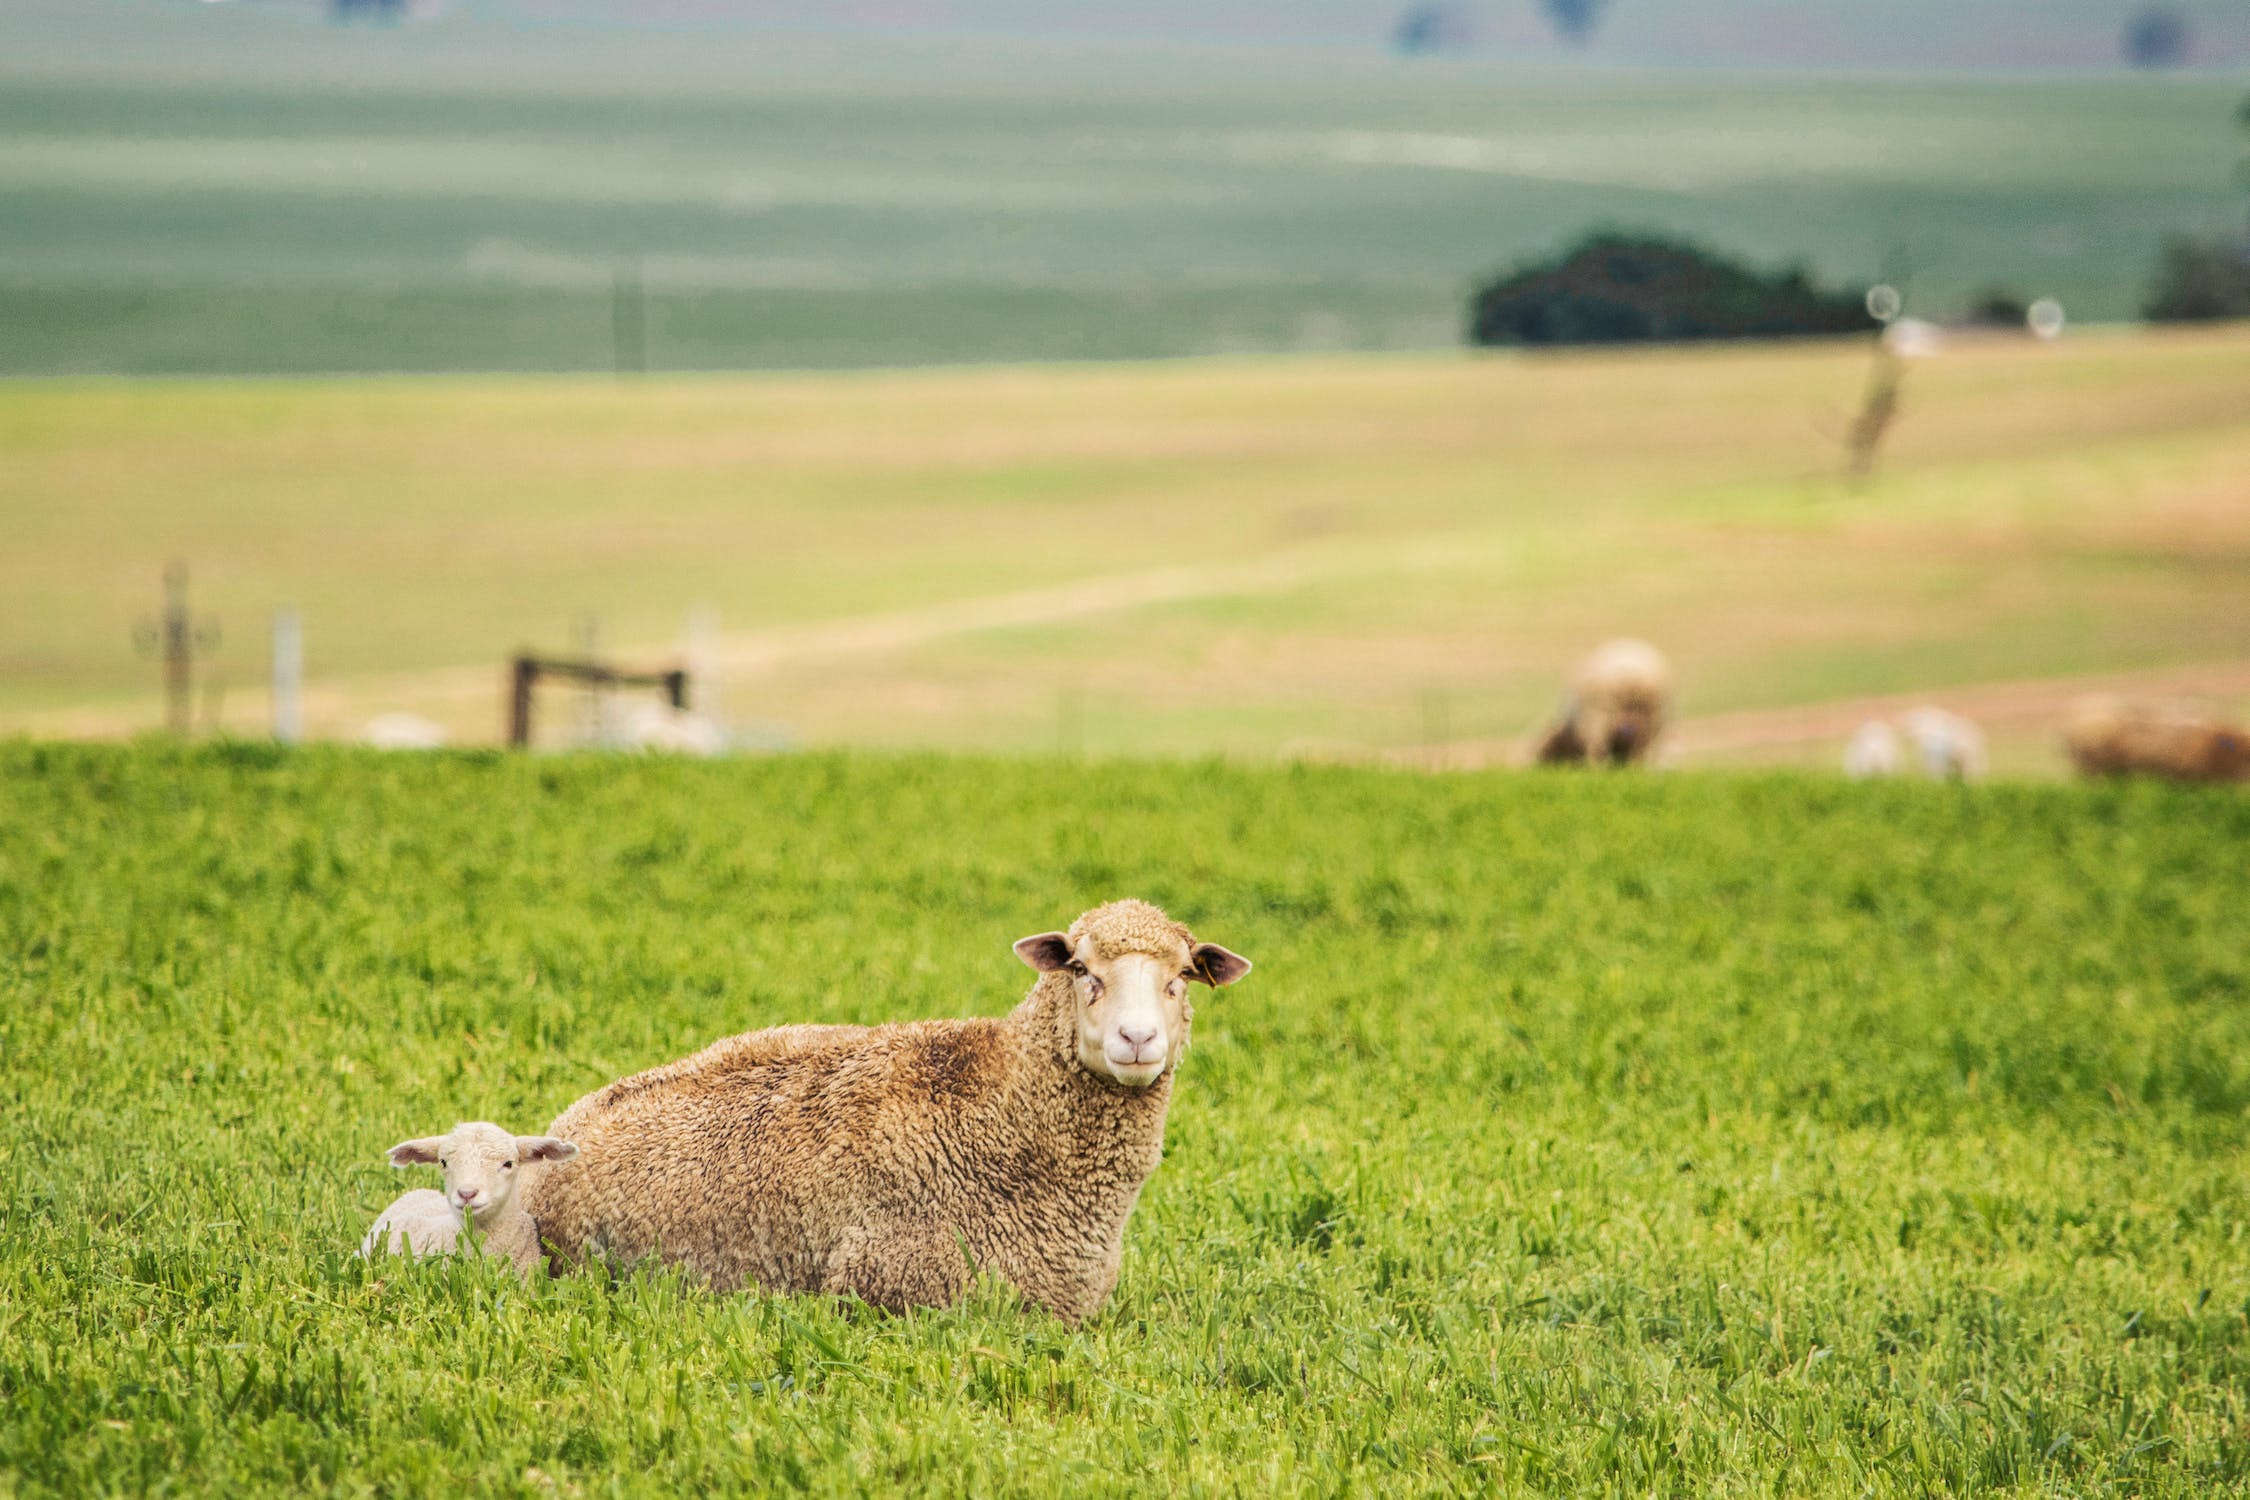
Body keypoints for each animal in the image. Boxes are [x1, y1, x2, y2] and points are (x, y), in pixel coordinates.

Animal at [521, 899, 1252, 1321]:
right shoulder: (895, 1288)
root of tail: (564, 1124)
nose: (1138, 1039)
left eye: (1182, 977)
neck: (1000, 1112)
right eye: (1079, 969)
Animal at [1535, 639, 1673, 767]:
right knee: (1638, 748)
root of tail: (1633, 677)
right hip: (1651, 718)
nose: (1539, 764)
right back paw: (1633, 767)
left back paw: (1595, 768)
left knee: (1599, 749)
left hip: (1600, 717)